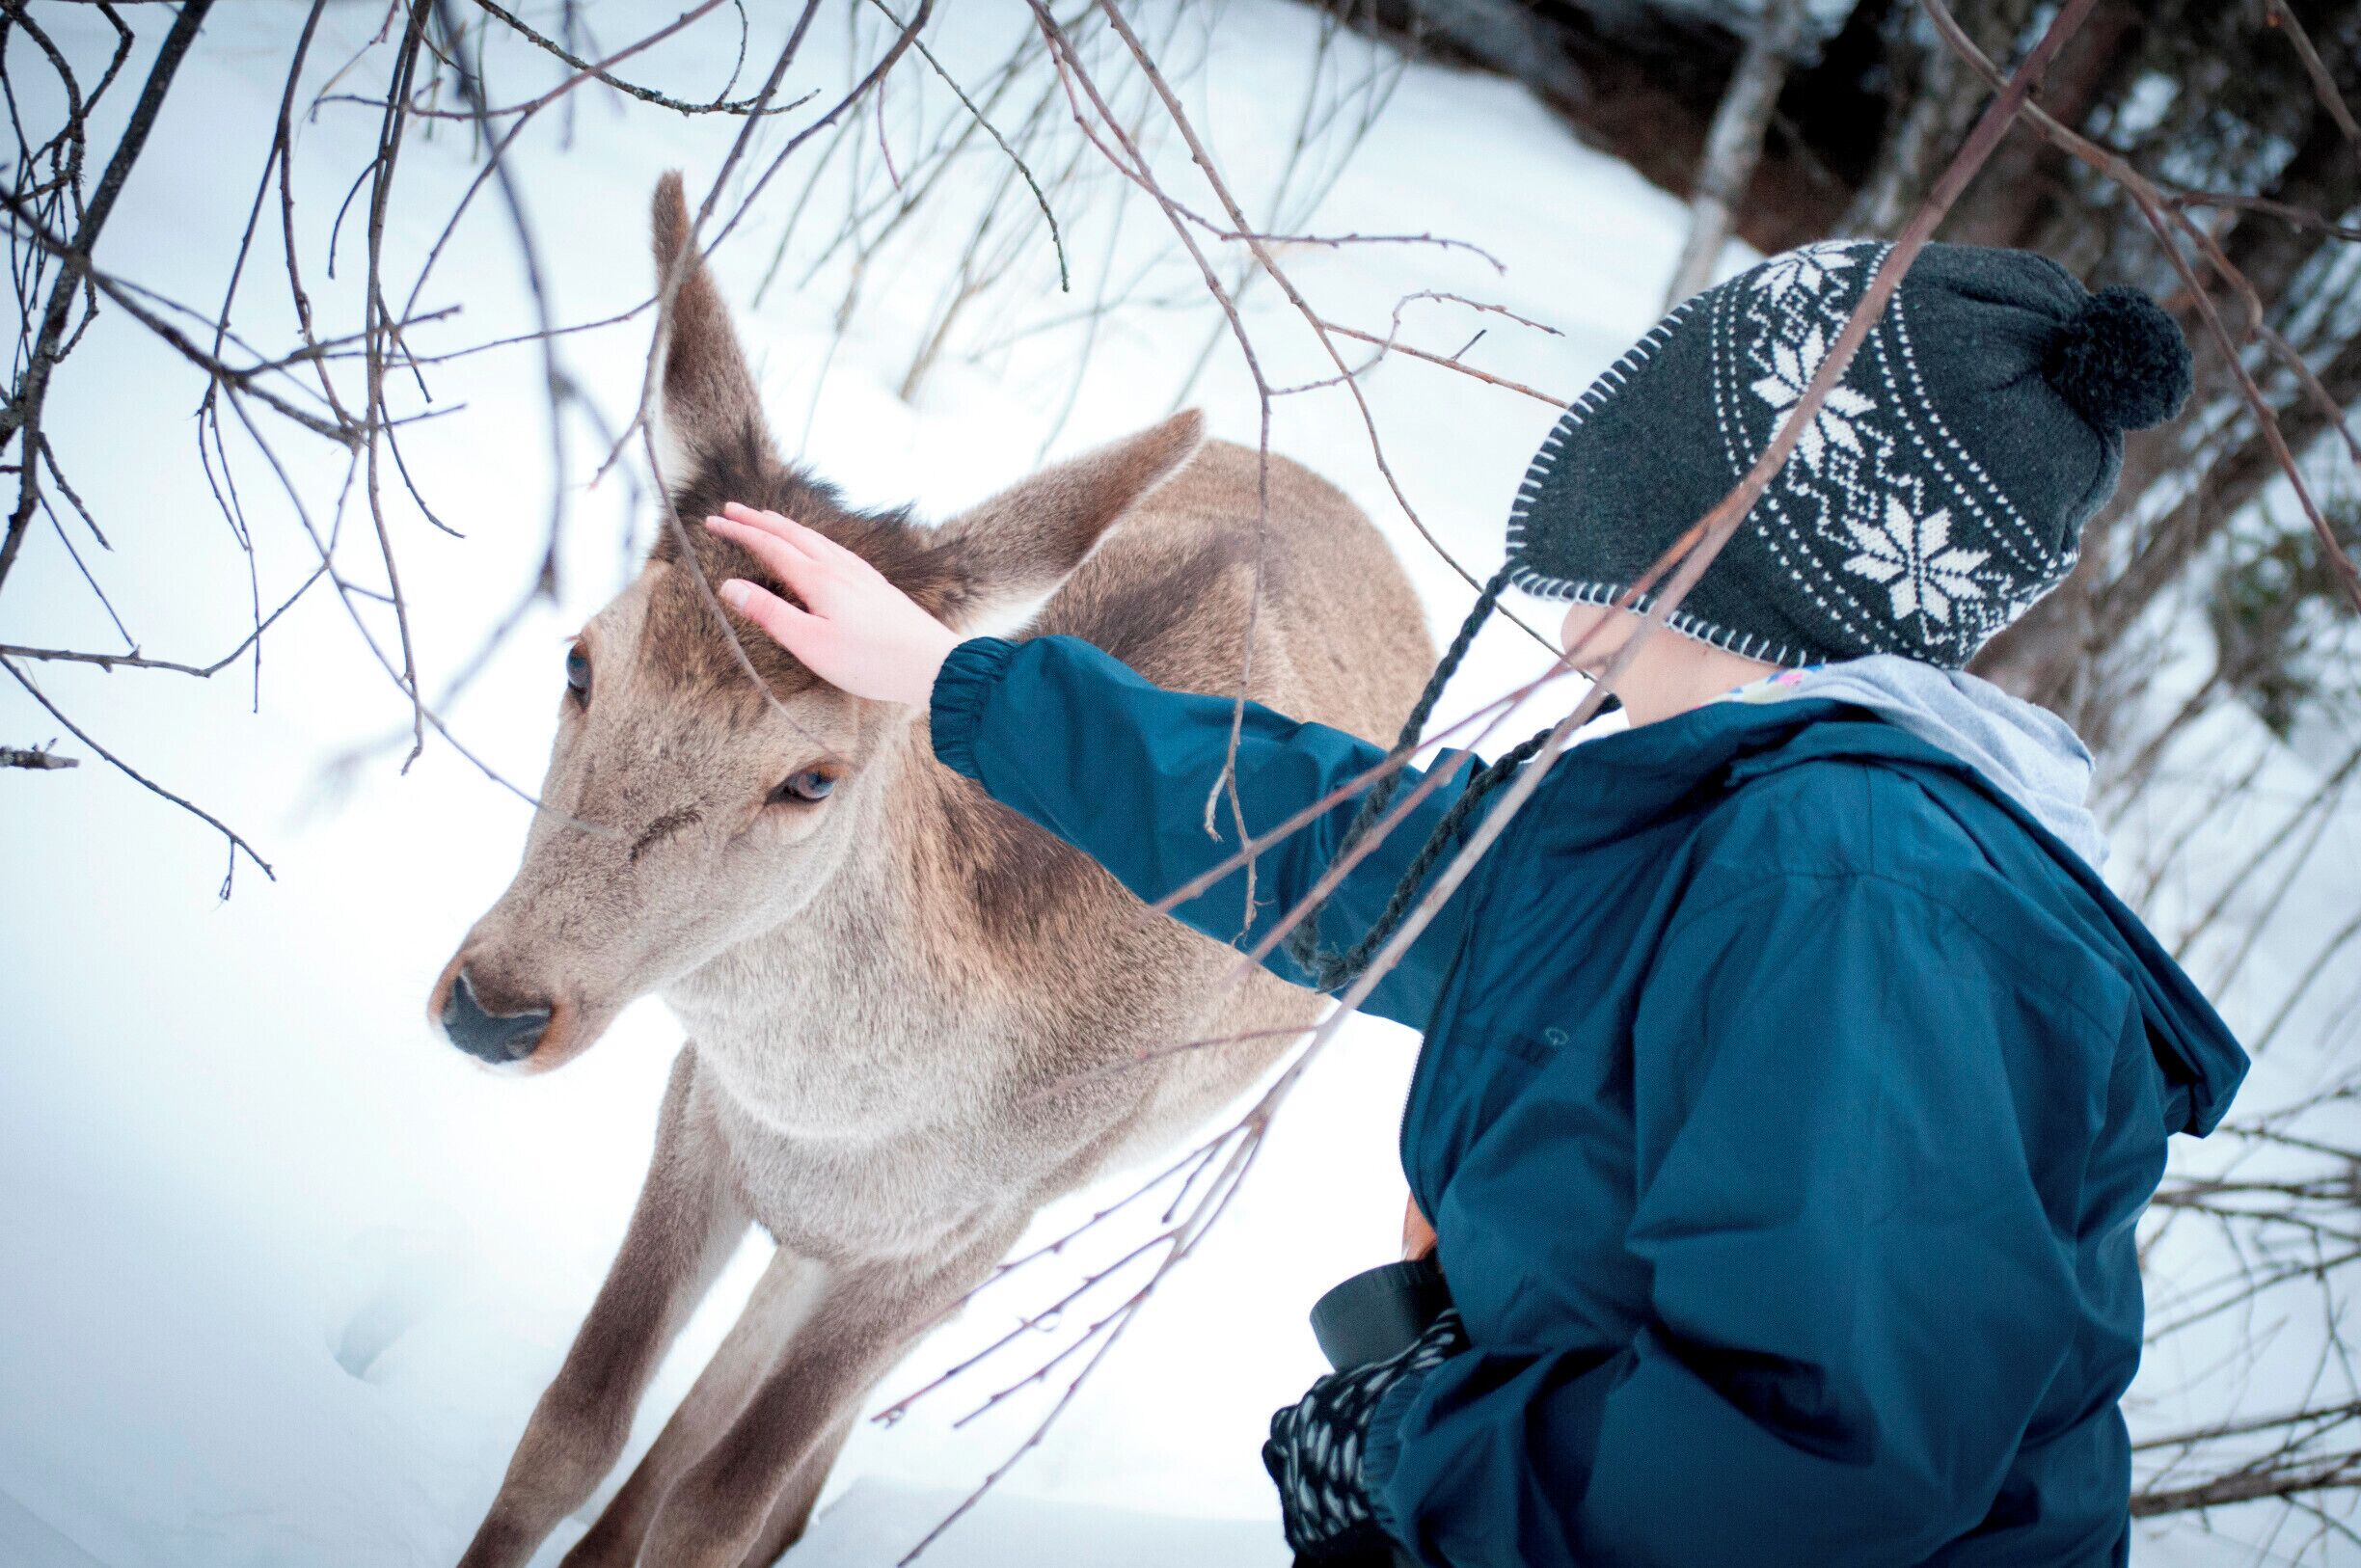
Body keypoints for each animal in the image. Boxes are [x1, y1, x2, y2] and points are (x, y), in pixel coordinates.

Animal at [432, 173, 1434, 1568]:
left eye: (811, 779)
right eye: (579, 659)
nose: (496, 1003)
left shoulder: (981, 1223)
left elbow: (716, 1510)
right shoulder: (705, 1110)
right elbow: (574, 1420)